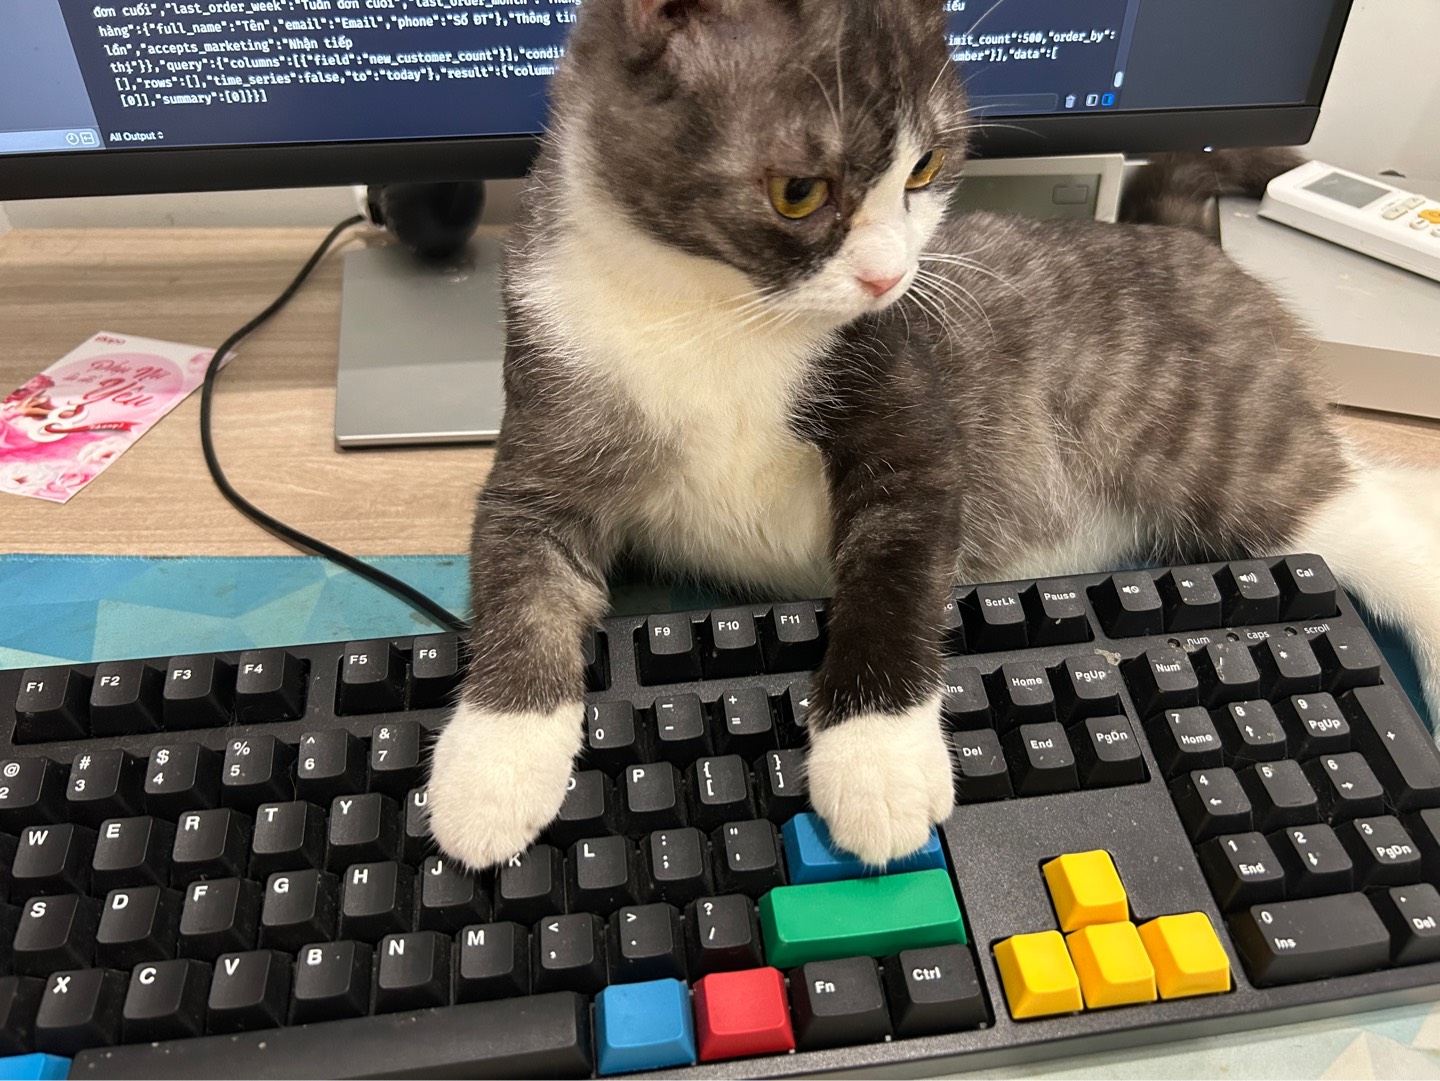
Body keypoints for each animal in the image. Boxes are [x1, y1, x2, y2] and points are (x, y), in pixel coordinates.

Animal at [425, 0, 1440, 872]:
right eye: (800, 192)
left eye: (926, 168)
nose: (889, 276)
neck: (716, 310)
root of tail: (1192, 243)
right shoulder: (550, 406)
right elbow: (518, 570)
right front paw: (494, 762)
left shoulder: (908, 418)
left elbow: (895, 566)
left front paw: (874, 754)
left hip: (1208, 433)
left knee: (1360, 512)